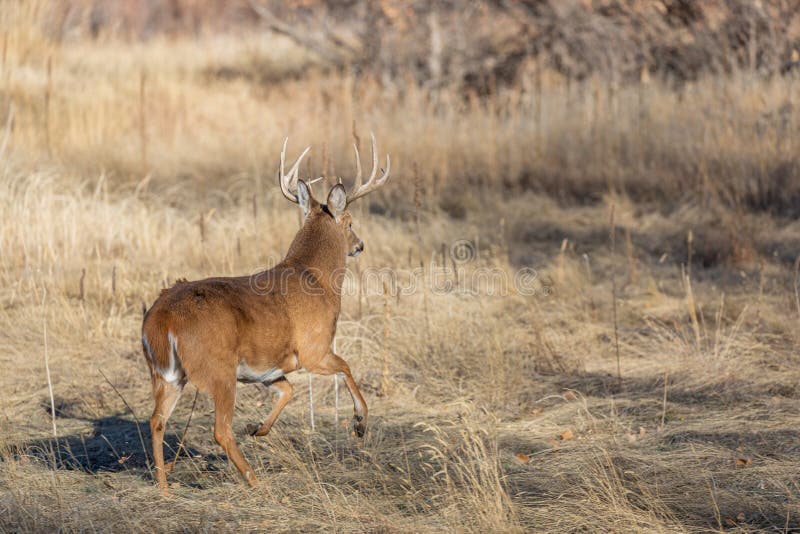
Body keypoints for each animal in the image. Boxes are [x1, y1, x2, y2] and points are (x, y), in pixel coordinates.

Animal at [141, 133, 390, 494]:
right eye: (350, 222)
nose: (360, 245)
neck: (316, 278)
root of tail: (161, 322)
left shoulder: (271, 367)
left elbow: (289, 390)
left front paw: (258, 428)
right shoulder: (314, 348)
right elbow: (346, 366)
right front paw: (360, 422)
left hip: (168, 374)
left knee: (157, 421)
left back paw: (164, 487)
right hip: (218, 368)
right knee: (219, 430)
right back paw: (254, 479)